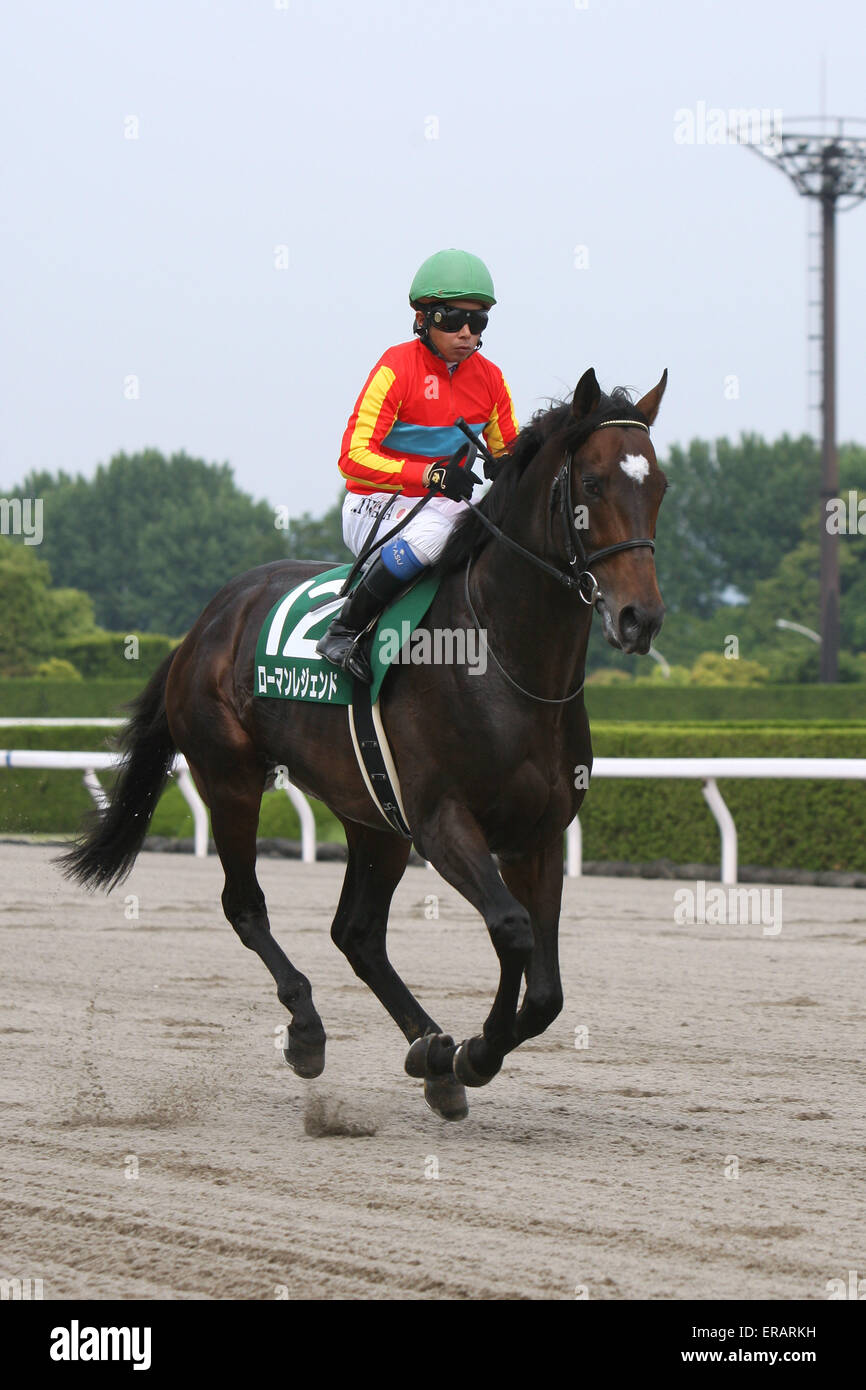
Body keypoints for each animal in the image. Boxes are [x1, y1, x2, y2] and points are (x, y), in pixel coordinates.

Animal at [61, 366, 670, 1117]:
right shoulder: (442, 822)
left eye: (659, 485)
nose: (640, 618)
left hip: (371, 816)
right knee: (245, 905)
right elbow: (512, 929)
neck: (507, 662)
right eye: (591, 483)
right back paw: (309, 1029)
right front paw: (477, 1052)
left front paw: (459, 1053)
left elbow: (548, 991)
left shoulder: (540, 833)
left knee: (356, 932)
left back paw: (429, 1050)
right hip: (231, 776)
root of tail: (207, 620)